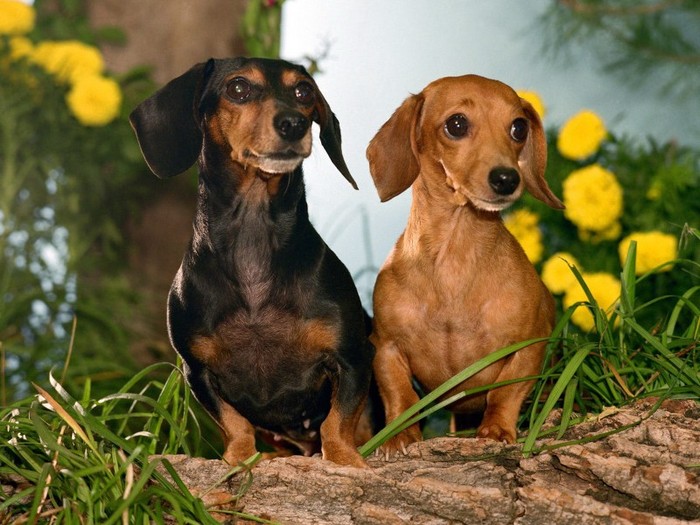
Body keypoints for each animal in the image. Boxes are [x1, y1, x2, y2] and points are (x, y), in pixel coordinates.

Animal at [129, 57, 374, 466]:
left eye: (303, 91)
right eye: (238, 88)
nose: (294, 123)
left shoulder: (352, 357)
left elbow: (338, 422)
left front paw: (344, 459)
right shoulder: (197, 371)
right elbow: (235, 424)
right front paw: (240, 458)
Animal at [366, 73, 564, 454]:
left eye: (518, 127)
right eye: (456, 124)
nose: (507, 179)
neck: (454, 263)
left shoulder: (529, 346)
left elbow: (505, 392)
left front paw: (497, 429)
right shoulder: (386, 347)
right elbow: (399, 395)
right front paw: (398, 436)